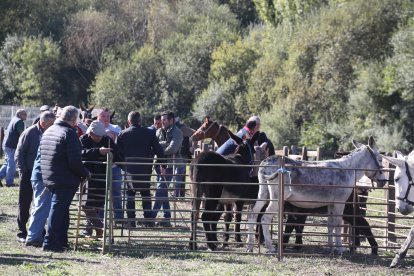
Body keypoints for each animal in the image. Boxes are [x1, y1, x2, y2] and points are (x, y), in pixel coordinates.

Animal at [244, 137, 386, 253]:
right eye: (380, 160)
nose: (383, 181)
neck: (347, 170)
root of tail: (266, 162)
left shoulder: (331, 204)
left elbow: (330, 224)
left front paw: (331, 247)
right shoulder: (340, 203)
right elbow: (338, 224)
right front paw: (340, 249)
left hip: (264, 193)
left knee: (253, 214)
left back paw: (249, 246)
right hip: (277, 199)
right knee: (265, 218)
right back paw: (270, 247)